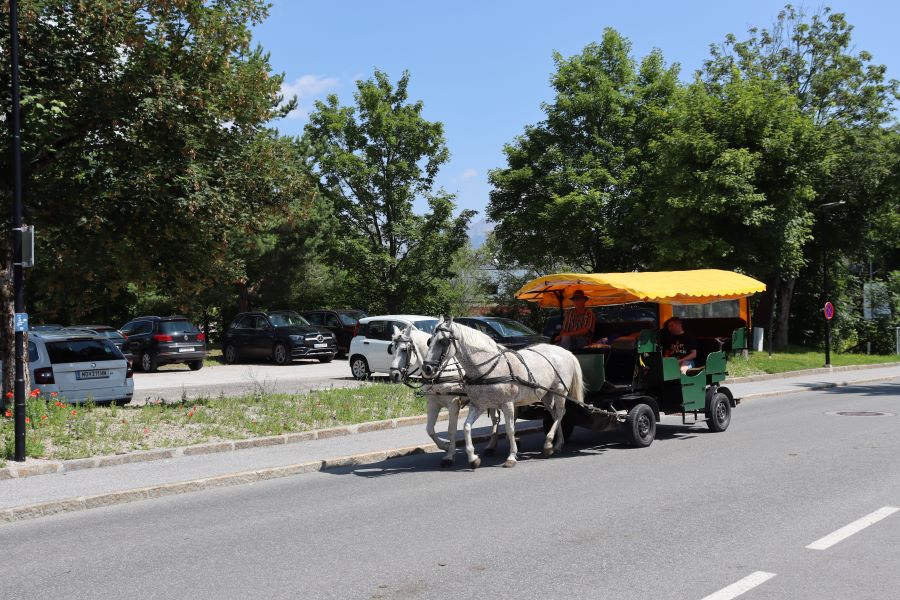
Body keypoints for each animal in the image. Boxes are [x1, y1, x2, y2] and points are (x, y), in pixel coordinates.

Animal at [386, 324, 500, 468]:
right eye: (392, 349)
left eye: (404, 349)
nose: (393, 375)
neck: (439, 372)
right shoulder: (433, 403)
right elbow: (429, 429)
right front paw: (445, 446)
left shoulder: (453, 404)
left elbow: (451, 430)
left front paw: (450, 455)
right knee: (496, 419)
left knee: (496, 420)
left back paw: (492, 446)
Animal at [422, 316, 584, 472]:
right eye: (429, 341)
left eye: (443, 341)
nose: (427, 368)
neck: (489, 367)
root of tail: (565, 352)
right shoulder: (478, 405)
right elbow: (466, 426)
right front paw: (473, 458)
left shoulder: (507, 404)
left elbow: (510, 429)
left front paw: (511, 457)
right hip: (546, 395)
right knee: (555, 415)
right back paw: (556, 444)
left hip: (559, 391)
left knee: (561, 413)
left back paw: (550, 443)